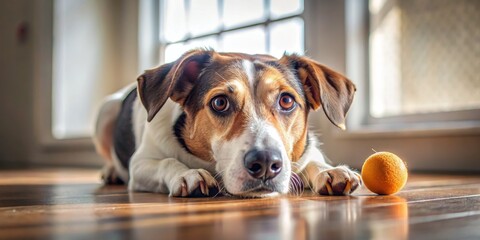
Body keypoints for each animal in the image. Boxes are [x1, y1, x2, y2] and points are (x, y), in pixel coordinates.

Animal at [93, 48, 360, 197]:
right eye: (220, 102)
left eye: (286, 101)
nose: (265, 163)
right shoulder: (139, 164)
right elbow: (167, 162)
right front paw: (189, 174)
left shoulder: (307, 150)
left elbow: (313, 161)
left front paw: (329, 171)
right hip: (105, 112)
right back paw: (110, 172)